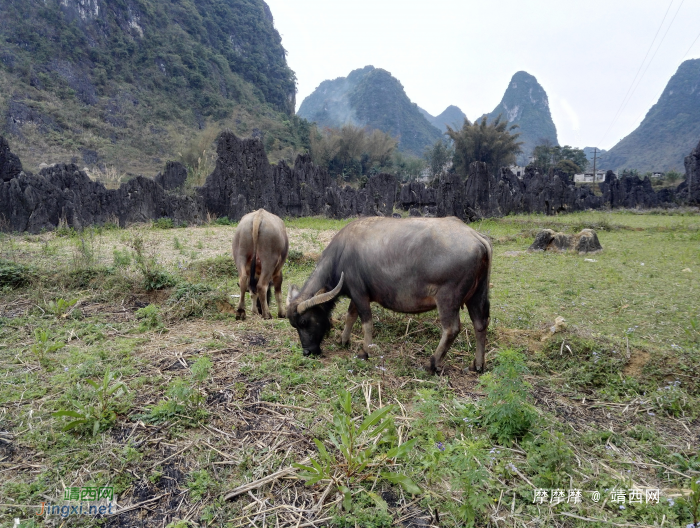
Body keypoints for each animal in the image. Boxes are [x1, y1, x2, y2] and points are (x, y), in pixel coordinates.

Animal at [284, 217, 492, 374]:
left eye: (304, 322)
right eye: (293, 325)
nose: (307, 352)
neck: (341, 255)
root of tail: (476, 237)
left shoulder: (359, 293)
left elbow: (366, 321)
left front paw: (365, 351)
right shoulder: (356, 295)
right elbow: (350, 316)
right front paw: (343, 340)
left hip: (447, 299)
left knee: (451, 329)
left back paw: (431, 363)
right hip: (477, 294)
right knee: (480, 324)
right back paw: (477, 365)